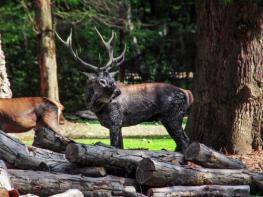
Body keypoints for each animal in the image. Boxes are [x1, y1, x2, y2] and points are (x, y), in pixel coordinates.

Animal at [55, 27, 193, 152]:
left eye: (112, 78)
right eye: (101, 81)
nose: (117, 91)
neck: (97, 108)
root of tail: (187, 93)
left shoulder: (115, 120)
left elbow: (115, 146)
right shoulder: (118, 124)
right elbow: (120, 147)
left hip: (174, 115)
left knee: (185, 141)